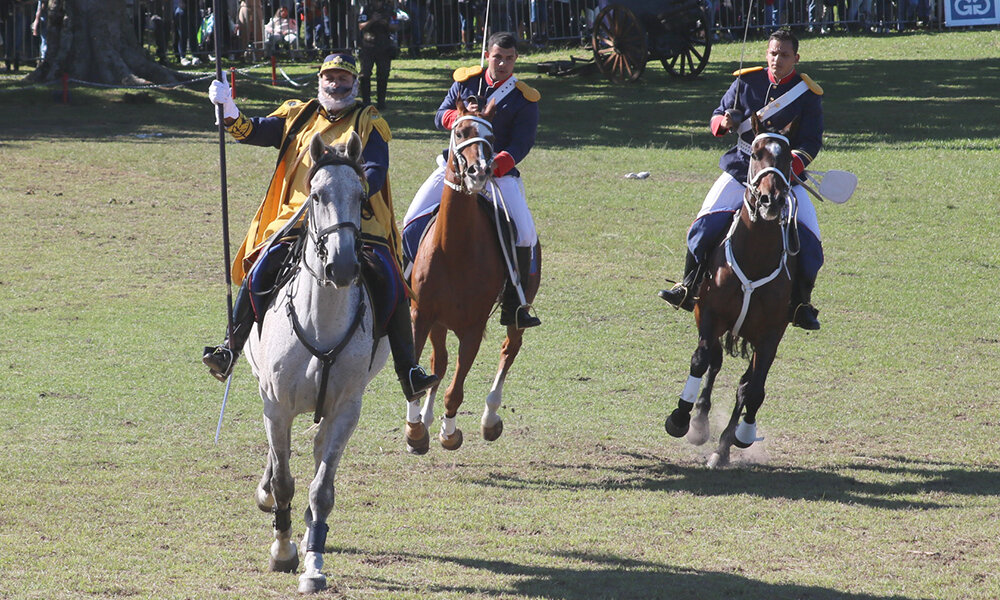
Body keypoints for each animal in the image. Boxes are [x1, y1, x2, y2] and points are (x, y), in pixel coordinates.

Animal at [242, 132, 390, 596]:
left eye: (361, 195)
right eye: (317, 195)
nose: (341, 266)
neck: (320, 318)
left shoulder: (346, 410)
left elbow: (321, 489)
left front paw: (313, 562)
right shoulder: (277, 406)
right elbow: (285, 480)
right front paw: (283, 550)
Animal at [402, 101, 544, 452]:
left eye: (490, 137)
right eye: (461, 132)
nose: (479, 172)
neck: (454, 249)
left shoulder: (473, 329)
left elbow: (455, 391)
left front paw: (449, 432)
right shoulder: (421, 316)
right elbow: (420, 375)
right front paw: (416, 430)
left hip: (516, 311)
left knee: (510, 348)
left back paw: (490, 418)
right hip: (438, 323)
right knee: (439, 364)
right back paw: (426, 419)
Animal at [668, 115, 800, 466]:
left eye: (787, 157)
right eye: (755, 153)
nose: (771, 200)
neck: (754, 256)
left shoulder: (771, 334)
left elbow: (753, 389)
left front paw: (739, 437)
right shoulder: (709, 314)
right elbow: (701, 360)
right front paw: (681, 418)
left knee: (745, 384)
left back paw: (724, 445)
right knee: (714, 361)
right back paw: (699, 422)